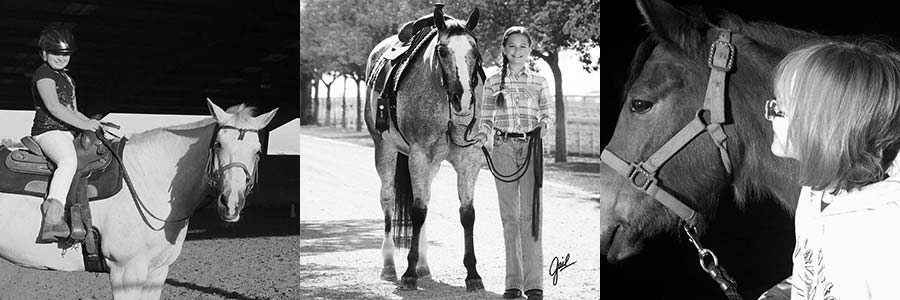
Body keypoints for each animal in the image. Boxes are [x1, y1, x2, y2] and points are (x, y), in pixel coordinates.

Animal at [0, 99, 276, 300]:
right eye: (218, 144)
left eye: (257, 151)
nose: (231, 203)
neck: (146, 177)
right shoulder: (126, 272)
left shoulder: (157, 272)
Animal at [362, 5, 486, 290]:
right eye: (442, 51)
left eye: (475, 50)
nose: (463, 98)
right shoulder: (418, 155)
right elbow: (417, 211)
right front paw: (408, 273)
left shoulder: (469, 158)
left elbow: (467, 213)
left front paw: (473, 274)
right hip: (384, 148)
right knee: (388, 199)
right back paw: (389, 266)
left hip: (433, 164)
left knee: (425, 199)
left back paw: (424, 266)